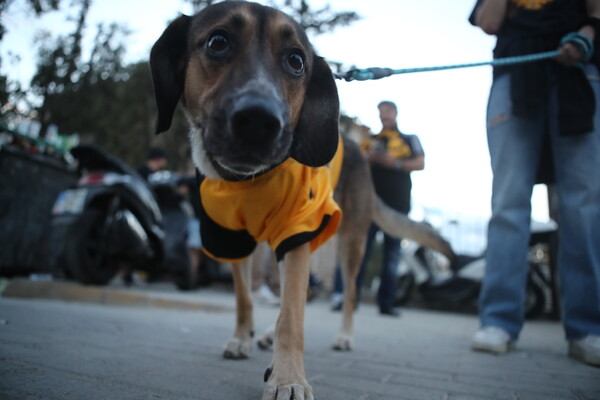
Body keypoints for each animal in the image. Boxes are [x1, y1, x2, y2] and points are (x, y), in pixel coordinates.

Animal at [150, 1, 454, 398]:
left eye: (296, 61)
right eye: (218, 42)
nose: (259, 121)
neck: (249, 181)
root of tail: (361, 150)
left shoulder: (297, 232)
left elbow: (292, 317)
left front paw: (287, 377)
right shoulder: (230, 238)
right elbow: (245, 298)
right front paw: (243, 338)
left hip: (349, 241)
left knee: (347, 293)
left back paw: (342, 336)